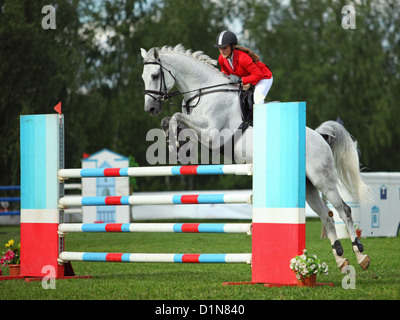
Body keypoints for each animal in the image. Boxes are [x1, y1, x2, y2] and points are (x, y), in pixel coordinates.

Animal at [141, 43, 372, 272]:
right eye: (143, 77)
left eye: (154, 75)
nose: (150, 108)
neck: (203, 92)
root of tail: (320, 137)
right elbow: (170, 120)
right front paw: (179, 147)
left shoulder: (211, 134)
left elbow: (176, 118)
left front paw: (174, 147)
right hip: (308, 187)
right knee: (327, 216)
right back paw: (341, 260)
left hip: (323, 179)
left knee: (344, 211)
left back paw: (361, 255)